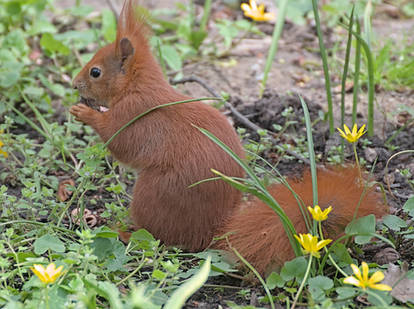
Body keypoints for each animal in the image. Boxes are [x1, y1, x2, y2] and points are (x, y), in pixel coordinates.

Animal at [69, 0, 386, 274]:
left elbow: (118, 140)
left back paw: (126, 232)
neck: (136, 86)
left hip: (152, 194)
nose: (74, 84)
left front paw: (84, 113)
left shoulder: (134, 115)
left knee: (162, 238)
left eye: (95, 72)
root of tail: (213, 232)